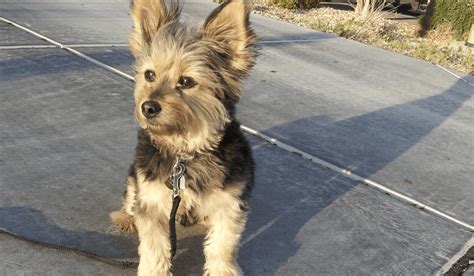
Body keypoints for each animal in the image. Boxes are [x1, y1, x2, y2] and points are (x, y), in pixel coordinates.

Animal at [109, 0, 258, 274]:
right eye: (149, 75)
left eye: (187, 81)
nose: (148, 107)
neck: (185, 152)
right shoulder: (151, 201)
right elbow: (154, 250)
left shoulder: (230, 204)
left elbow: (222, 246)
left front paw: (222, 269)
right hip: (134, 179)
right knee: (131, 200)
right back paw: (127, 218)